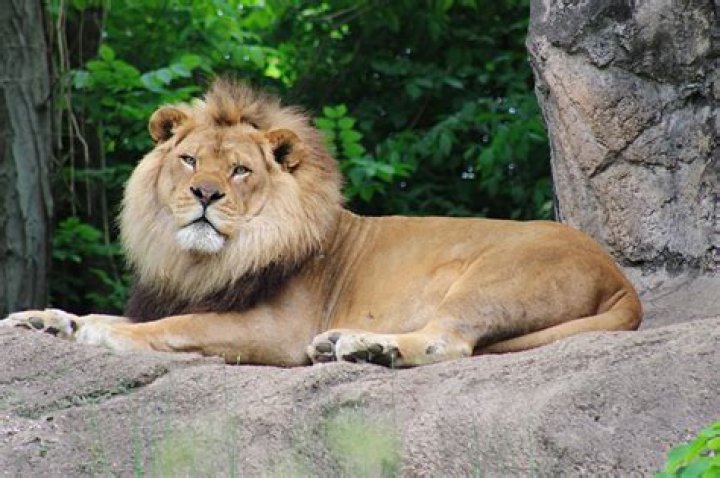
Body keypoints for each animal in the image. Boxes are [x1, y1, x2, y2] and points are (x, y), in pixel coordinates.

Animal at [2, 78, 642, 367]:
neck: (201, 259)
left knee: (447, 342)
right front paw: (45, 319)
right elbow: (118, 313)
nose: (204, 193)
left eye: (238, 170)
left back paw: (365, 346)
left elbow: (174, 326)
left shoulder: (277, 331)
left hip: (491, 278)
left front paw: (103, 335)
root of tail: (620, 277)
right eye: (187, 160)